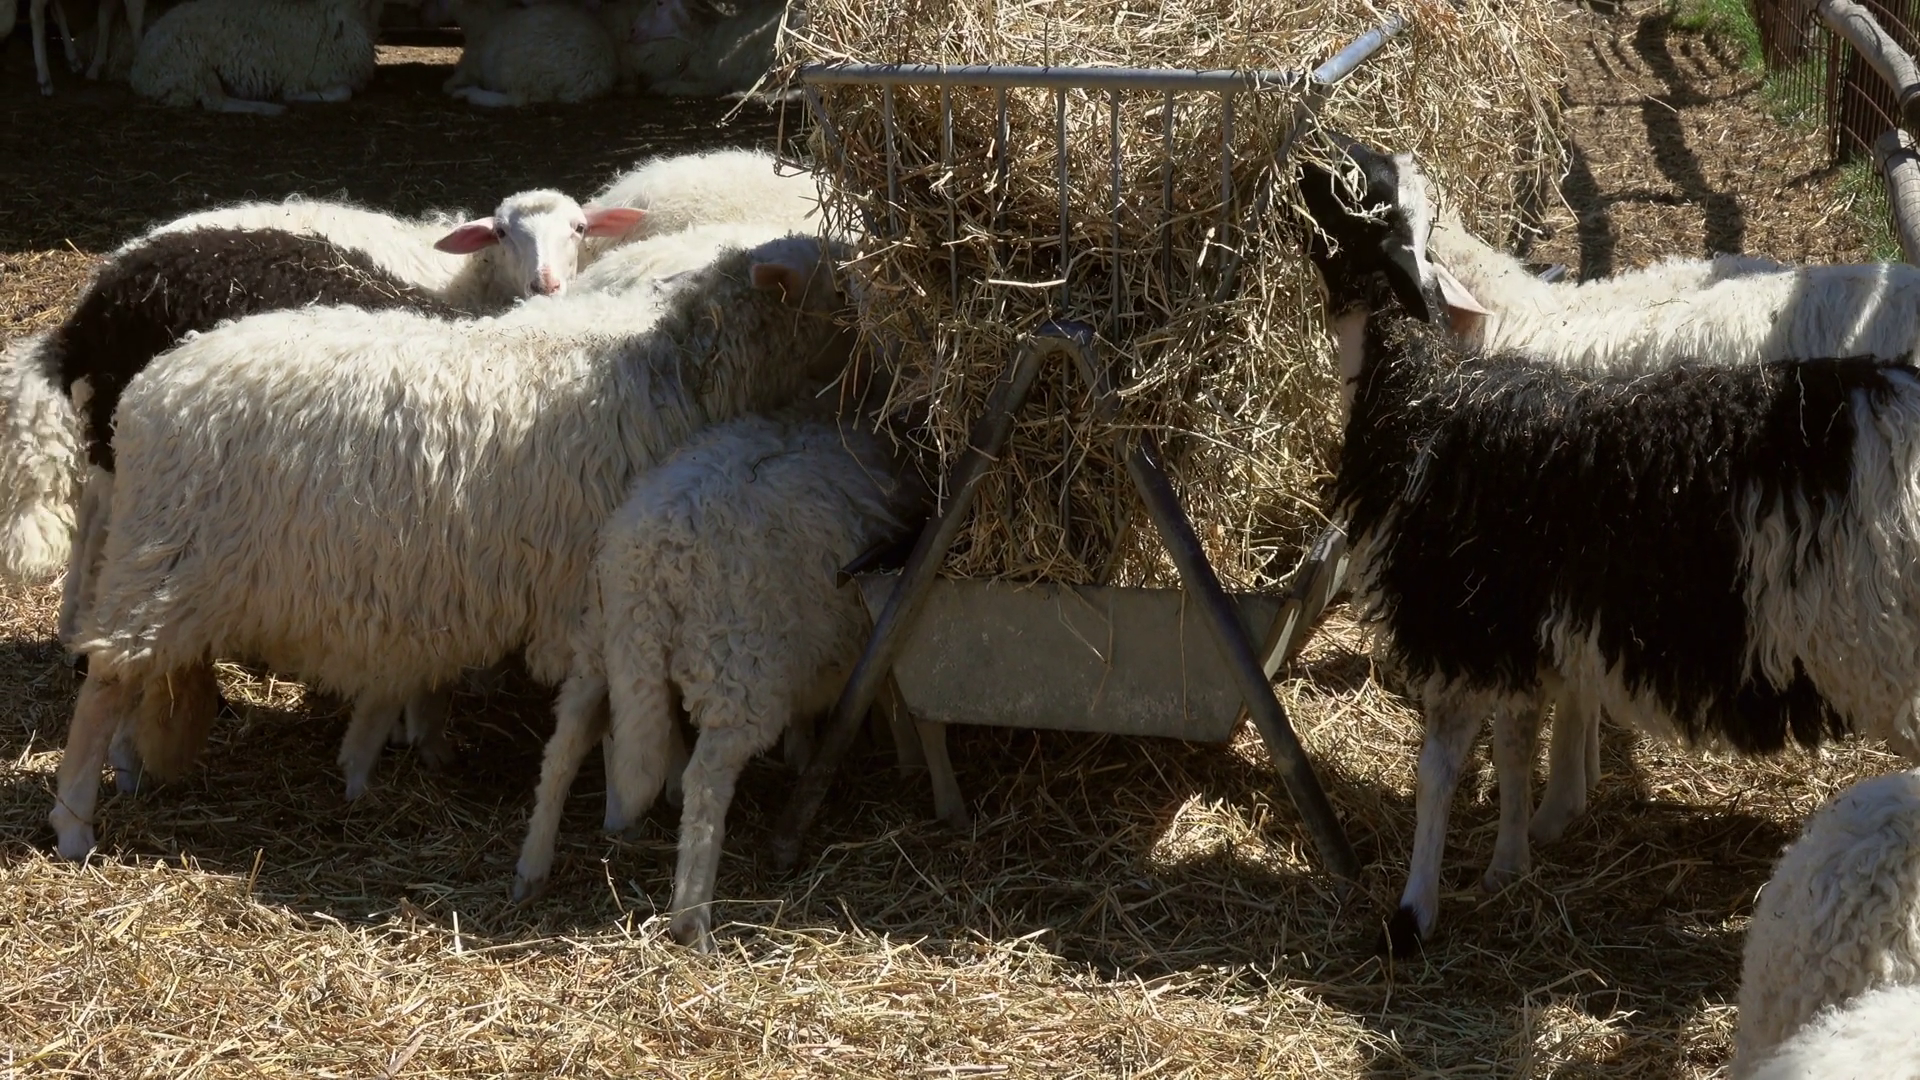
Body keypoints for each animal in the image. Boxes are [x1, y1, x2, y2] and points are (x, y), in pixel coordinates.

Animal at [48, 234, 853, 858]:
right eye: (841, 289)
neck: (678, 373)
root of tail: (150, 387)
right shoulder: (595, 591)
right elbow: (622, 710)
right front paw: (646, 788)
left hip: (169, 569)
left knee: (138, 675)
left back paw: (130, 772)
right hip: (167, 556)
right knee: (104, 686)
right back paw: (75, 825)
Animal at [128, 0, 383, 115]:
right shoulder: (303, 77)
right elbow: (343, 92)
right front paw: (290, 98)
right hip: (193, 61)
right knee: (215, 102)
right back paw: (270, 108)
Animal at [427, 0, 620, 107]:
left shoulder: (473, 66)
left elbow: (448, 84)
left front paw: (454, 87)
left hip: (518, 68)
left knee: (518, 99)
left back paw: (469, 94)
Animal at [512, 409, 928, 950]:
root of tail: (652, 561)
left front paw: (801, 751)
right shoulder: (870, 629)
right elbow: (894, 699)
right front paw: (910, 764)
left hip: (599, 644)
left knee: (563, 747)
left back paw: (532, 868)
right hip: (738, 663)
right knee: (706, 780)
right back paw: (691, 919)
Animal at [1295, 142, 1920, 957]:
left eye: (1360, 195)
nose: (1303, 160)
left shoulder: (1489, 601)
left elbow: (1495, 737)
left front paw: (1526, 832)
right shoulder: (1558, 596)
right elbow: (1547, 709)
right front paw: (1544, 821)